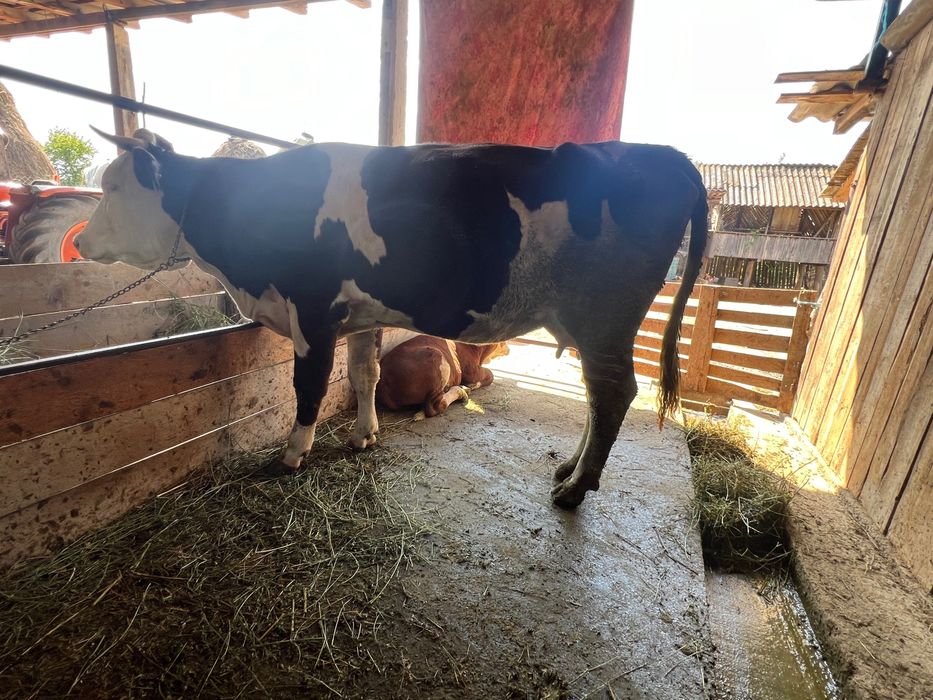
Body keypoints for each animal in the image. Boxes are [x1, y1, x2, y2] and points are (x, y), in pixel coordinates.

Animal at [377, 337, 510, 419]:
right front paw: (470, 385)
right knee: (435, 407)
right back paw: (461, 391)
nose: (509, 349)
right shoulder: (471, 371)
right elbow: (490, 375)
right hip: (438, 357)